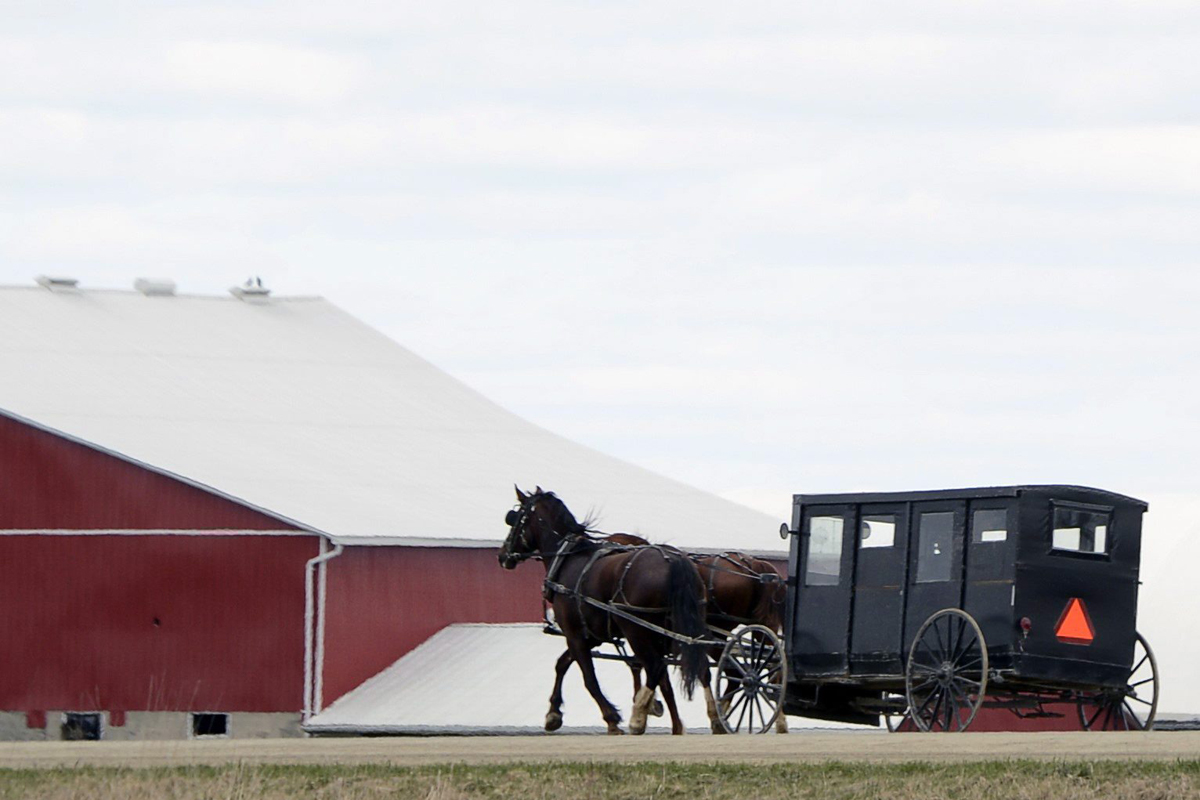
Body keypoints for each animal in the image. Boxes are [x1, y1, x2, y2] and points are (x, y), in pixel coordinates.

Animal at [499, 486, 709, 735]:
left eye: (514, 519)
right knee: (688, 669)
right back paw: (695, 721)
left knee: (655, 667)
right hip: (680, 630)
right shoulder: (591, 636)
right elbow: (562, 663)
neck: (567, 558)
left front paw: (612, 718)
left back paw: (639, 716)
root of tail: (674, 560)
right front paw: (553, 714)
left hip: (637, 630)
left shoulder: (575, 635)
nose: (502, 555)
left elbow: (588, 678)